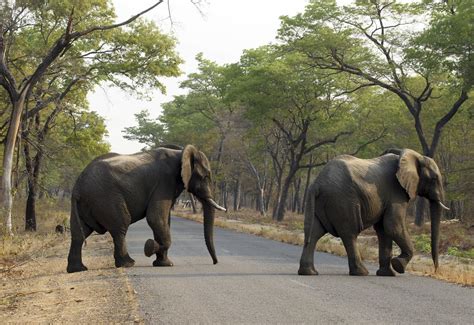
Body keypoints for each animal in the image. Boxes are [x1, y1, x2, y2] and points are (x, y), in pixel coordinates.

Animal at [67, 143, 228, 272]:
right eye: (205, 176)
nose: (215, 262)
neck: (181, 152)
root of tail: (78, 186)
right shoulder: (164, 183)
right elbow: (155, 218)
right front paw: (149, 247)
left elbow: (164, 221)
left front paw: (164, 264)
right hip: (106, 197)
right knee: (120, 227)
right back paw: (128, 264)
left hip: (86, 203)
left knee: (79, 233)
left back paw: (78, 269)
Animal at [298, 148, 450, 274]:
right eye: (434, 178)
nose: (435, 270)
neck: (414, 156)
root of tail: (317, 183)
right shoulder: (396, 192)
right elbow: (393, 226)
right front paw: (398, 266)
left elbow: (383, 230)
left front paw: (388, 274)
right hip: (342, 201)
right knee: (349, 233)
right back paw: (361, 272)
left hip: (322, 202)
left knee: (314, 232)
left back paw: (309, 272)